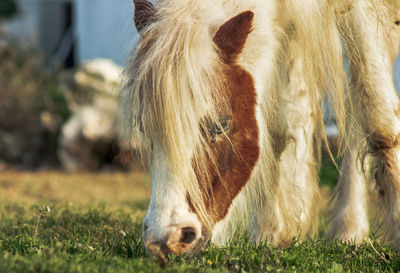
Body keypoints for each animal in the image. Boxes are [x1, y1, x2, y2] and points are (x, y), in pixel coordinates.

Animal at [120, 0, 400, 260]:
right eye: (145, 129)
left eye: (221, 124)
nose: (166, 238)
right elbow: (279, 129)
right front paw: (271, 231)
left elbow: (379, 119)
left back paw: (349, 228)